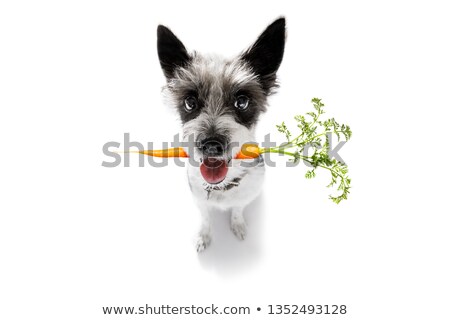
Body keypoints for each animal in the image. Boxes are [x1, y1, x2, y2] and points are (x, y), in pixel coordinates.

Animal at [156, 18, 286, 252]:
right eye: (190, 102)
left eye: (242, 102)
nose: (211, 145)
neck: (222, 186)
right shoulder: (199, 199)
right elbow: (206, 218)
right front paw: (203, 236)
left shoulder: (245, 195)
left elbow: (237, 210)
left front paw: (238, 225)